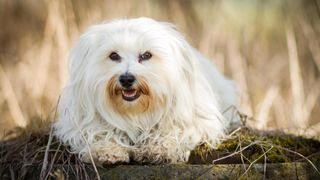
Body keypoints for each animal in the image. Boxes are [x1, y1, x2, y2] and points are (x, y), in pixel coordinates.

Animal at [53, 17, 240, 165]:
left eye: (146, 55)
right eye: (113, 56)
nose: (126, 79)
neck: (135, 112)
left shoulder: (194, 119)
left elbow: (174, 130)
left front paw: (158, 149)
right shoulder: (81, 119)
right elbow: (98, 130)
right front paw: (106, 149)